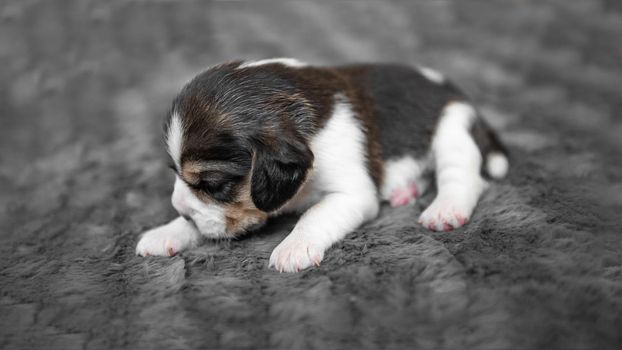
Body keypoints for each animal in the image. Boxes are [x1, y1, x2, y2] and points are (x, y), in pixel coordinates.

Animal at [134, 57, 510, 272]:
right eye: (176, 175)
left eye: (213, 184)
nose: (179, 210)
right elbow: (200, 224)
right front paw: (167, 230)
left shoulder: (351, 193)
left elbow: (314, 215)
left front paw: (293, 248)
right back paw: (405, 190)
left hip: (452, 128)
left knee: (463, 177)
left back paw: (445, 209)